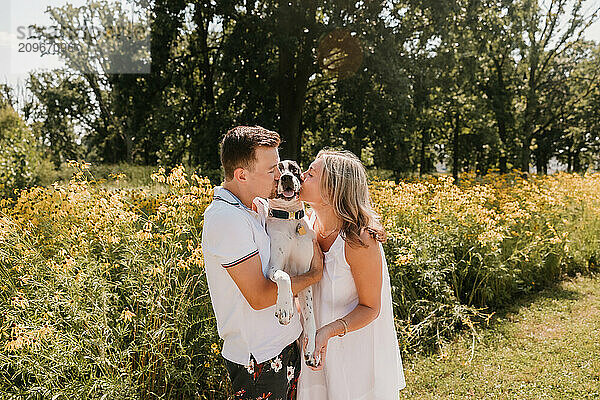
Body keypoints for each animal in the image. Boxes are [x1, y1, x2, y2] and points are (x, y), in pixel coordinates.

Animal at [268, 160, 322, 368]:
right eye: (278, 170)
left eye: (294, 169)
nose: (286, 178)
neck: (290, 219)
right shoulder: (273, 267)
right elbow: (285, 277)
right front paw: (284, 308)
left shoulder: (306, 273)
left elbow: (310, 317)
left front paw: (311, 349)